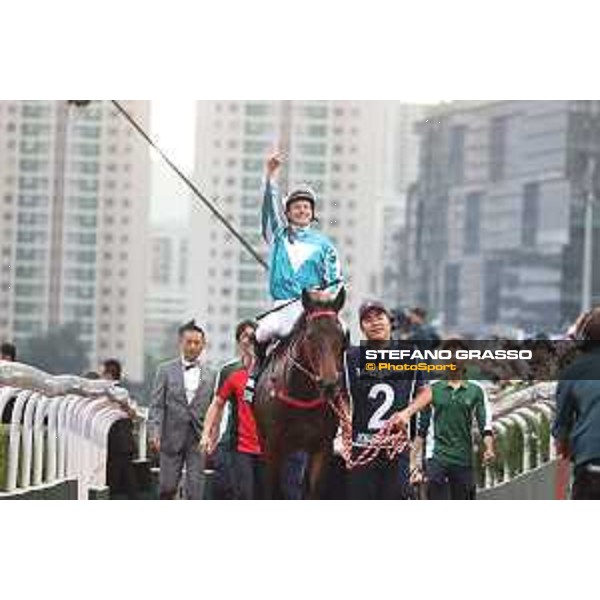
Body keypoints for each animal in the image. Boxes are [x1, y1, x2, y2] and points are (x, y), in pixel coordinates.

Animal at [252, 288, 346, 500]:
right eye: (310, 336)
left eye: (342, 337)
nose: (329, 385)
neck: (302, 395)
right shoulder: (272, 446)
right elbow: (271, 491)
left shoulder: (322, 447)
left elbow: (313, 492)